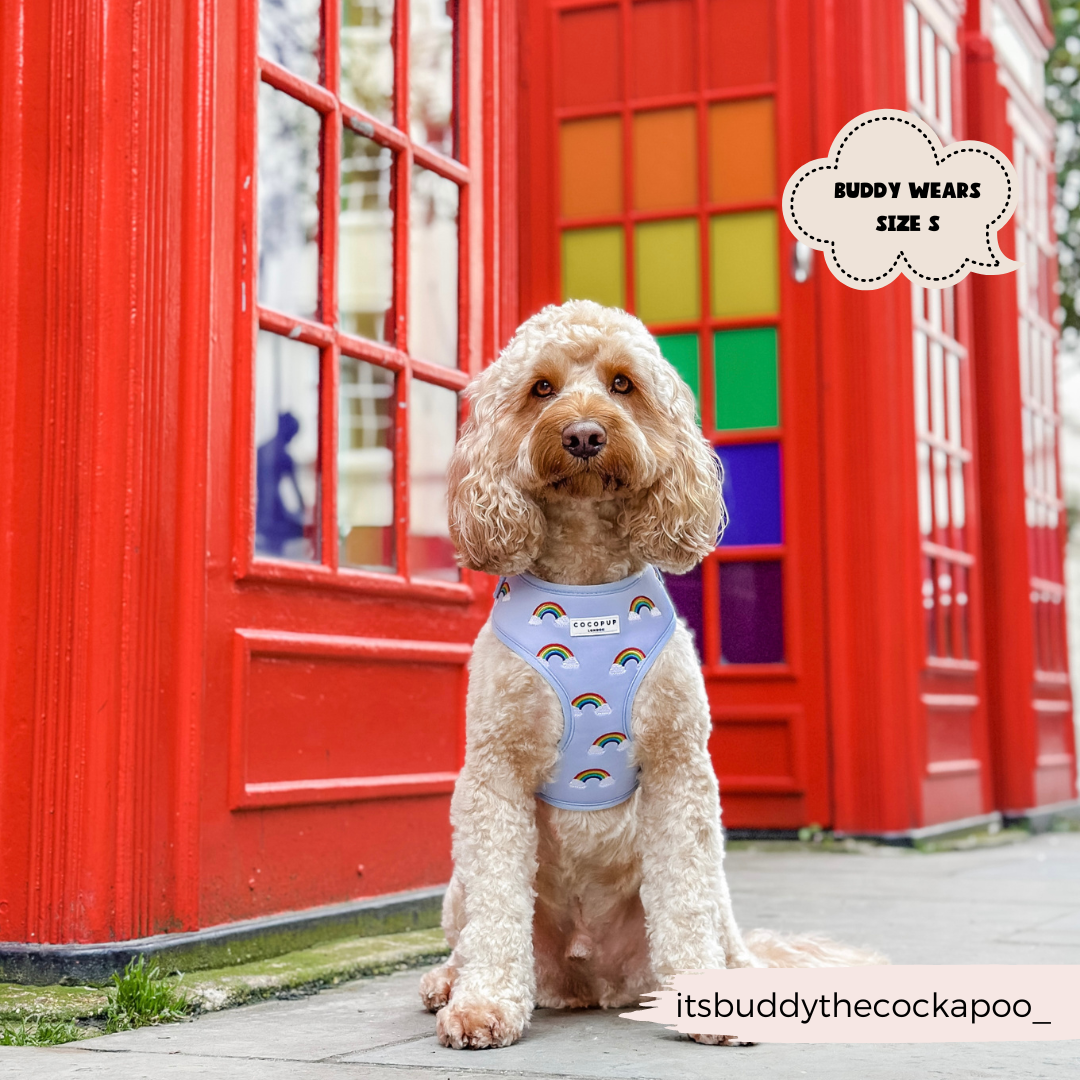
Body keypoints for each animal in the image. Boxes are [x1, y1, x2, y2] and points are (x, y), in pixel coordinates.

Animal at [416, 302, 881, 1045]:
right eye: (541, 388)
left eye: (622, 384)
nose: (583, 434)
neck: (584, 586)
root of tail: (591, 983)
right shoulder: (494, 772)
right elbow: (496, 907)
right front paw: (483, 1004)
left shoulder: (679, 766)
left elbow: (685, 895)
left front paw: (711, 1006)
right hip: (456, 890)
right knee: (469, 930)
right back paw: (446, 981)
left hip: (715, 887)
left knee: (721, 926)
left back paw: (738, 977)